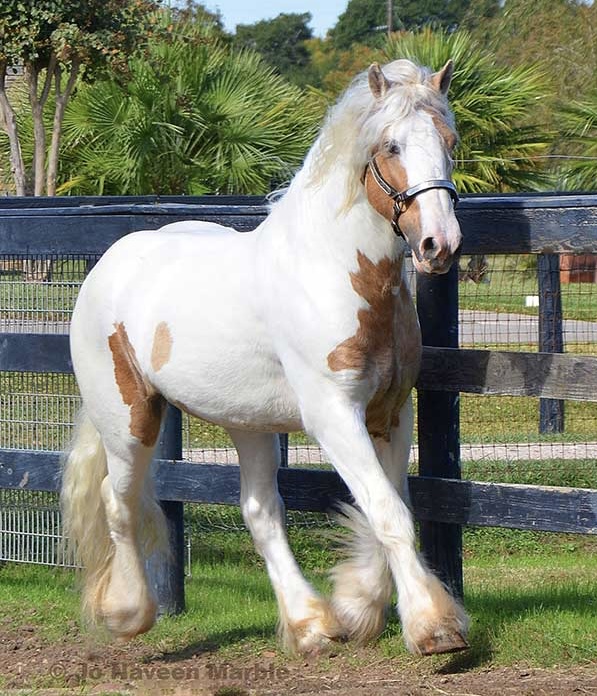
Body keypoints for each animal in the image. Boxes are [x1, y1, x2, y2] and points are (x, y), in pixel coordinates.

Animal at [61, 58, 467, 657]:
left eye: (449, 141)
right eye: (391, 145)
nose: (440, 244)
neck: (331, 270)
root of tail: (108, 264)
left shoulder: (391, 413)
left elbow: (387, 506)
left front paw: (358, 608)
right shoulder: (333, 415)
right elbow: (389, 512)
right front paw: (435, 628)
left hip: (247, 422)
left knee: (260, 514)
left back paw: (311, 624)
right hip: (129, 418)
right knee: (121, 503)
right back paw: (129, 611)